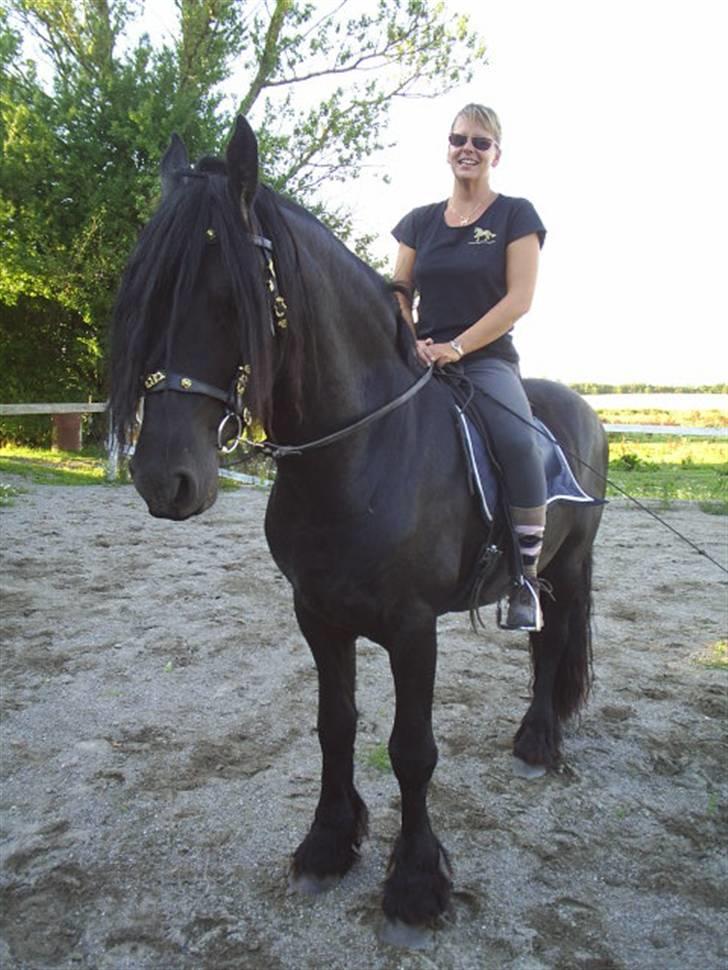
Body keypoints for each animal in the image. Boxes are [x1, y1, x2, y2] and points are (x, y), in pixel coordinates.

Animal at [109, 117, 608, 932]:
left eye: (228, 295)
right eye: (147, 292)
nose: (163, 478)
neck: (359, 451)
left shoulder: (412, 626)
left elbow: (412, 749)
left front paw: (414, 885)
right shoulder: (318, 614)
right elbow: (334, 725)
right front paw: (327, 846)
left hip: (564, 568)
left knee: (553, 639)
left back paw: (539, 741)